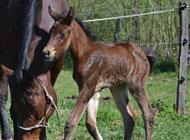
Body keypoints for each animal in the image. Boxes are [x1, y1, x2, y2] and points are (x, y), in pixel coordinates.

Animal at [42, 7, 156, 140]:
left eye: (62, 34)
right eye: (50, 33)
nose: (46, 52)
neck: (85, 54)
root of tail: (144, 54)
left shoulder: (88, 88)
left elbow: (71, 123)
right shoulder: (92, 90)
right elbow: (90, 123)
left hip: (136, 84)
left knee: (148, 114)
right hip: (118, 87)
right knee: (130, 117)